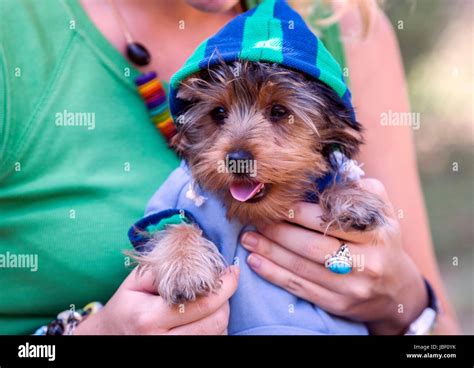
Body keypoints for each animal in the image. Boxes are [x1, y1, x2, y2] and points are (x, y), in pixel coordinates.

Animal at [131, 60, 386, 306]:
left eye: (279, 111)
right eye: (218, 112)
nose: (237, 160)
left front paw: (352, 199)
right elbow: (171, 223)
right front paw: (184, 269)